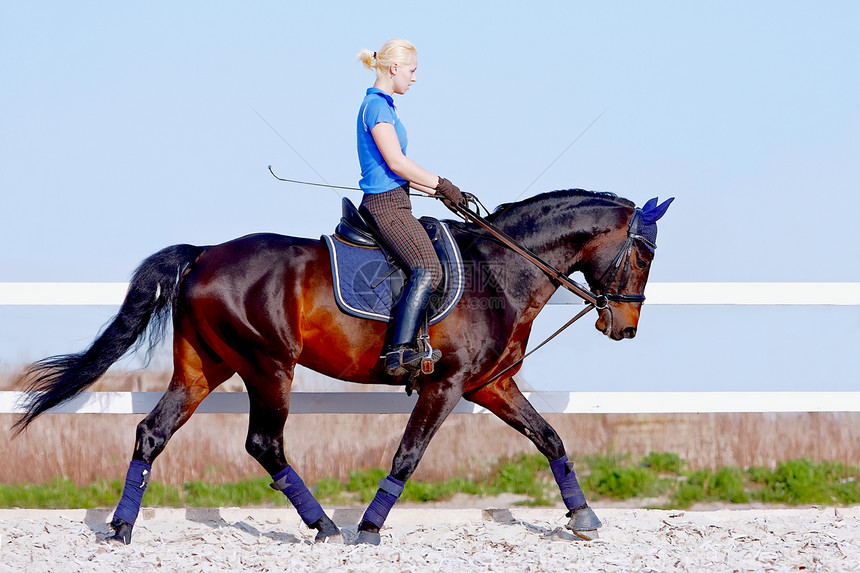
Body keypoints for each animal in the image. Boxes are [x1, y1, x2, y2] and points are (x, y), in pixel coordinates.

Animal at [15, 189, 672, 544]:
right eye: (643, 256)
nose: (625, 327)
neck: (500, 268)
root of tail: (204, 254)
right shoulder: (447, 384)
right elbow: (408, 455)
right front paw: (370, 528)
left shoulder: (491, 384)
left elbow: (550, 437)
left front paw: (583, 516)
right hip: (267, 365)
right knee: (264, 444)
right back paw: (326, 526)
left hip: (205, 367)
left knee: (153, 432)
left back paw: (122, 528)